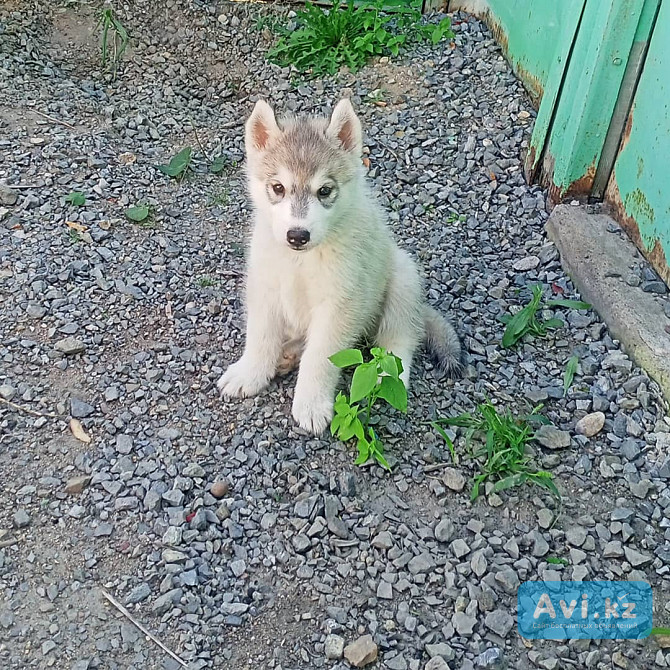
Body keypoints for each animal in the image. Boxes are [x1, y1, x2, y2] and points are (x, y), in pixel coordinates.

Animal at [218, 98, 460, 436]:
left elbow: (320, 357)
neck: (300, 262)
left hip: (403, 278)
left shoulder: (341, 305)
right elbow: (260, 337)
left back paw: (388, 376)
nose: (297, 235)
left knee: (400, 339)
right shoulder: (264, 288)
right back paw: (288, 354)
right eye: (278, 188)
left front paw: (311, 404)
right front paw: (250, 374)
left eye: (324, 191)